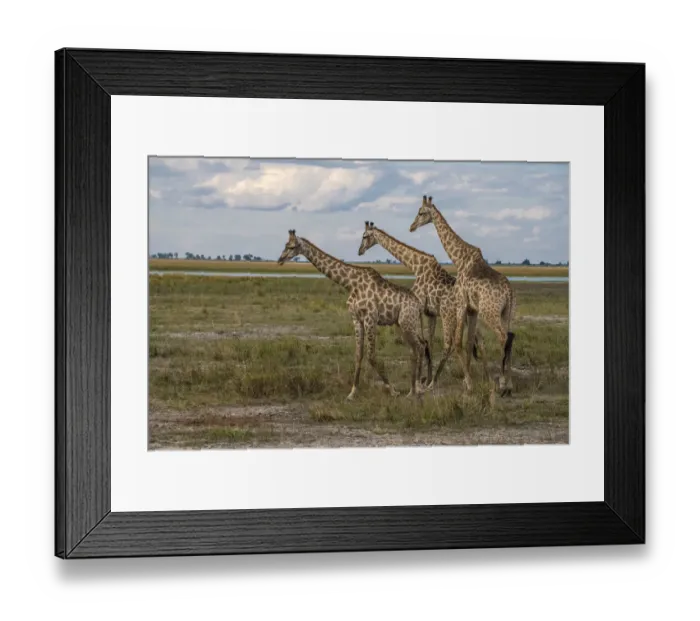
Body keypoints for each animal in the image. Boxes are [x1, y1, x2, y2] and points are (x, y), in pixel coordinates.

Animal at [278, 230, 432, 400]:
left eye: (293, 246)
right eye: (286, 244)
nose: (280, 259)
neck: (350, 284)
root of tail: (418, 305)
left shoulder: (370, 318)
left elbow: (371, 356)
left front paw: (392, 390)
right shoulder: (356, 319)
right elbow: (358, 355)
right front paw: (352, 392)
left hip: (407, 323)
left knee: (419, 347)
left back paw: (417, 388)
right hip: (402, 324)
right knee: (417, 348)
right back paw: (413, 389)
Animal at [357, 221, 484, 386]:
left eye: (365, 236)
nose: (359, 251)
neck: (415, 266)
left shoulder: (417, 308)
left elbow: (422, 343)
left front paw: (422, 378)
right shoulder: (430, 313)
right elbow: (429, 343)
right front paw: (425, 377)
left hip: (449, 316)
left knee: (451, 344)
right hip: (470, 317)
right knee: (478, 342)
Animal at [409, 196, 517, 396]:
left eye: (421, 212)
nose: (411, 227)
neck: (459, 259)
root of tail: (509, 292)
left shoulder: (460, 304)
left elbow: (458, 342)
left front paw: (469, 385)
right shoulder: (472, 309)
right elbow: (468, 343)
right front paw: (471, 382)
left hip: (490, 312)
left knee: (502, 336)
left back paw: (502, 384)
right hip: (506, 312)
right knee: (508, 336)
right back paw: (509, 384)